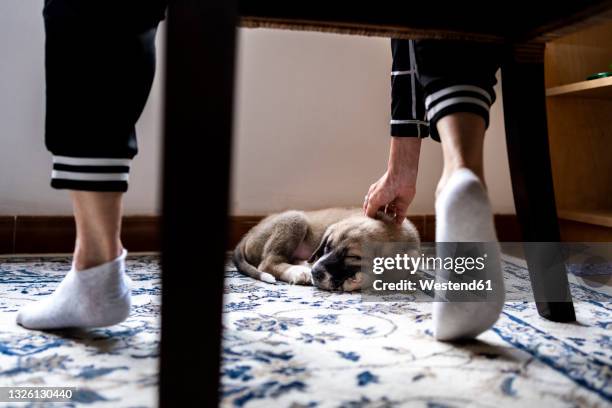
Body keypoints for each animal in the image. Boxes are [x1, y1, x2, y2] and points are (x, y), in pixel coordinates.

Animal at [232, 209, 418, 292]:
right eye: (327, 247)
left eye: (351, 256)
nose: (316, 273)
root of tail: (249, 233)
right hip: (295, 219)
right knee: (268, 263)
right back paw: (300, 272)